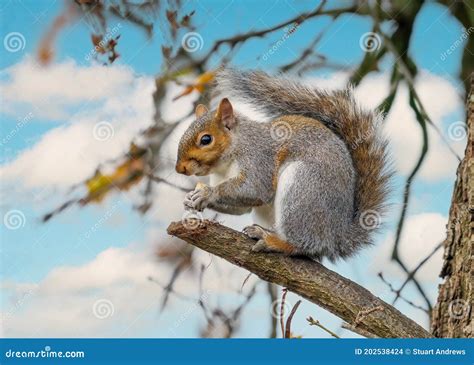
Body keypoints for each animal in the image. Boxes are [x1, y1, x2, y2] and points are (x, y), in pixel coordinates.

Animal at [176, 68, 390, 260]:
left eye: (206, 139)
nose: (180, 169)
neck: (226, 163)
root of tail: (335, 236)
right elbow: (241, 208)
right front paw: (191, 198)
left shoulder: (258, 158)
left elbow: (255, 189)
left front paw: (207, 193)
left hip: (303, 188)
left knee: (303, 244)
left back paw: (274, 242)